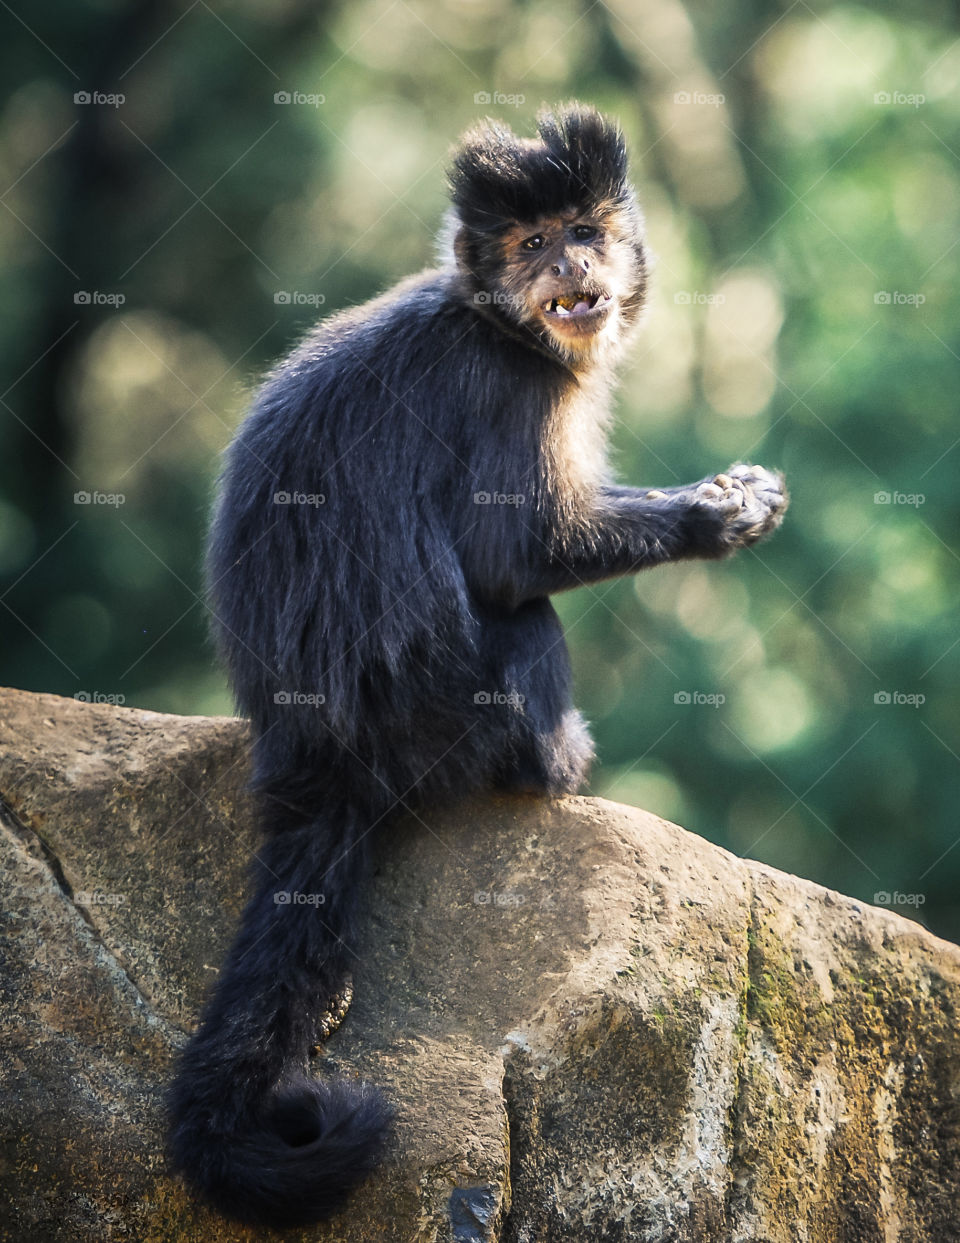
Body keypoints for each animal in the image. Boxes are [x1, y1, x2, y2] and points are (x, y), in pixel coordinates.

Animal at [166, 103, 787, 1229]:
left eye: (582, 229)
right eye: (533, 244)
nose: (573, 264)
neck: (499, 323)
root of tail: (314, 754)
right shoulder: (509, 382)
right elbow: (516, 553)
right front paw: (714, 514)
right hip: (446, 717)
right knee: (525, 621)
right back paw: (549, 766)